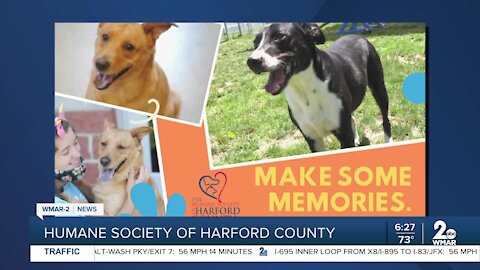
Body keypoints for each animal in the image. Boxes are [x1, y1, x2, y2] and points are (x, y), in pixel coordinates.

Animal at [246, 23, 392, 152]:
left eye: (279, 36)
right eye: (255, 42)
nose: (252, 61)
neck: (305, 88)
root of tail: (357, 36)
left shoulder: (344, 136)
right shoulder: (312, 139)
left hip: (379, 88)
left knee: (385, 119)